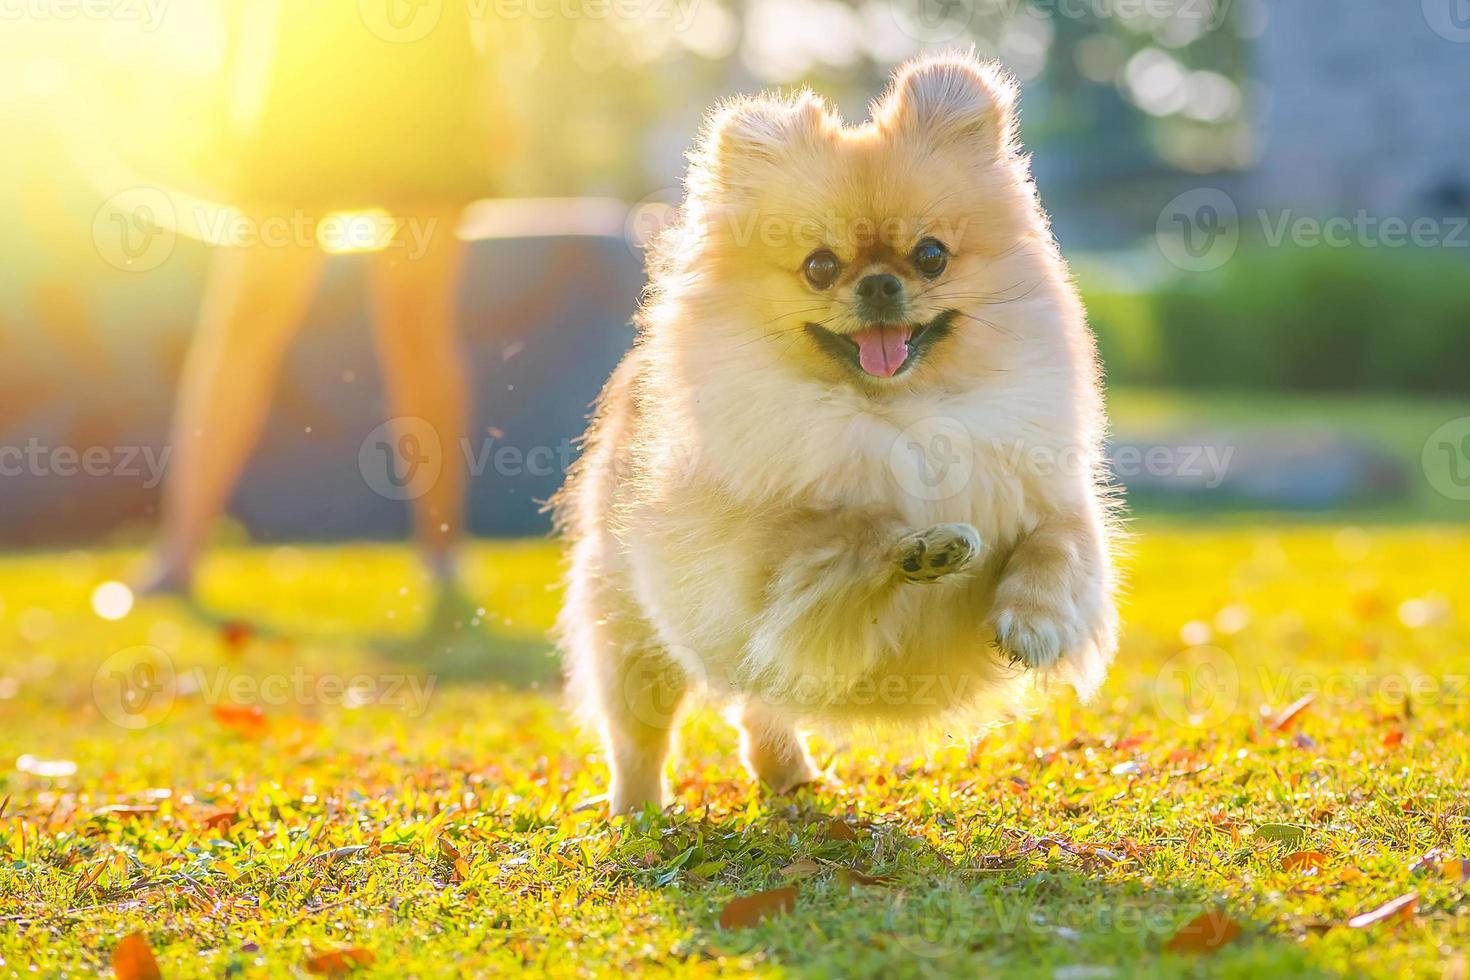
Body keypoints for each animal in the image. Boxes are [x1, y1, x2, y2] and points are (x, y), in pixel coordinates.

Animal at [555, 51, 1117, 811]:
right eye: (820, 266)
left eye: (932, 255)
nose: (879, 283)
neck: (900, 413)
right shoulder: (762, 578)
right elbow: (837, 543)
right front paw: (920, 547)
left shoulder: (1057, 503)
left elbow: (1054, 549)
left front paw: (1032, 621)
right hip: (633, 636)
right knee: (640, 737)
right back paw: (640, 813)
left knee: (759, 709)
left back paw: (787, 776)